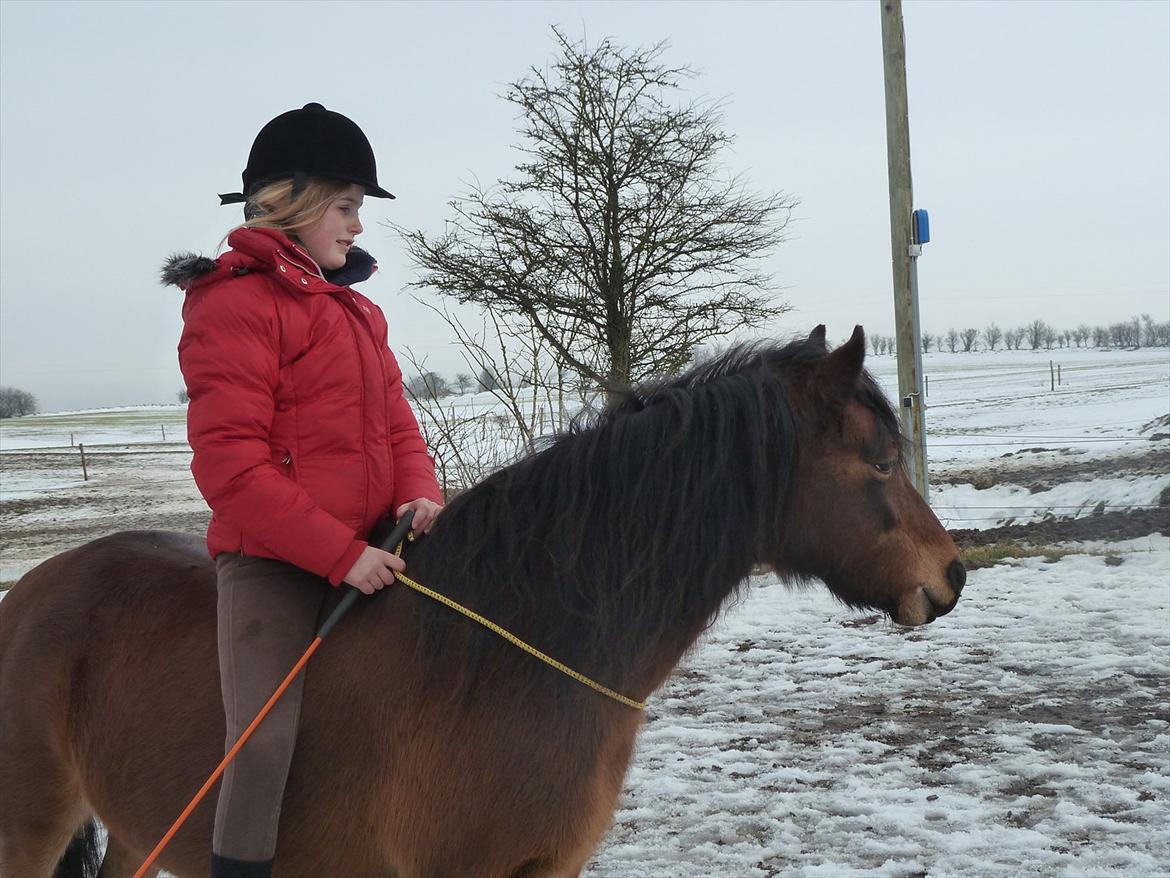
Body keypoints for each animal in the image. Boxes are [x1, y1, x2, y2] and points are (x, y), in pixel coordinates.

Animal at [0, 325, 965, 878]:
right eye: (883, 462)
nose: (951, 575)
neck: (516, 658)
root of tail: (33, 589)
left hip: (135, 827)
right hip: (32, 826)